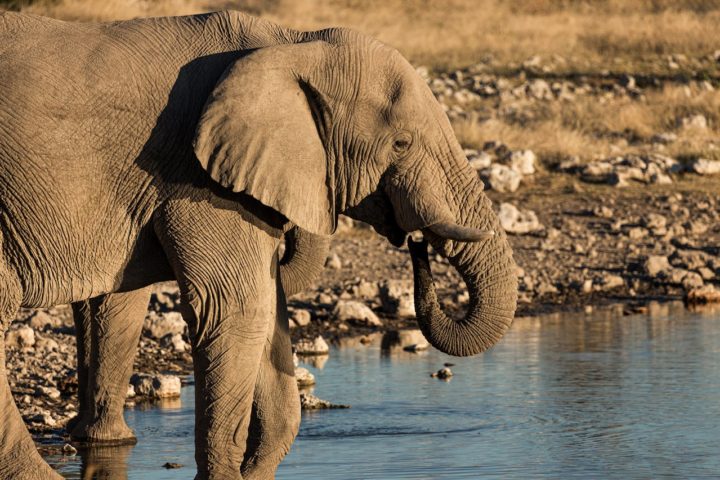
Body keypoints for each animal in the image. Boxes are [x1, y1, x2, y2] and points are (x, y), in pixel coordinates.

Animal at [0, 8, 516, 480]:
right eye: (401, 143)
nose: (416, 240)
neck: (290, 42)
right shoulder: (197, 180)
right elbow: (238, 308)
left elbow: (267, 313)